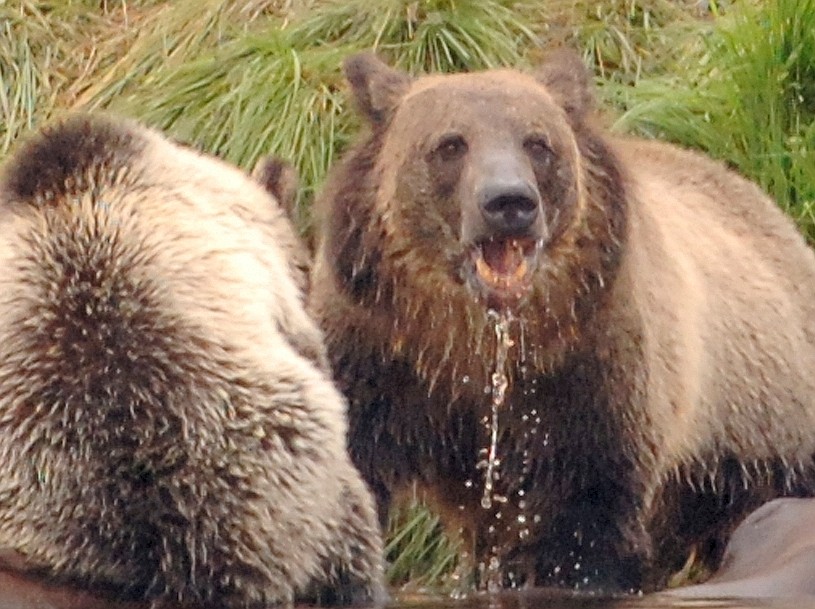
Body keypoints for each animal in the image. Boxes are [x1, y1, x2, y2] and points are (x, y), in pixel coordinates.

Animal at [308, 52, 815, 592]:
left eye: (537, 142)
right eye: (450, 144)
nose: (509, 202)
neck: (476, 340)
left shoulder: (589, 379)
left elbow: (583, 528)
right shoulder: (376, 358)